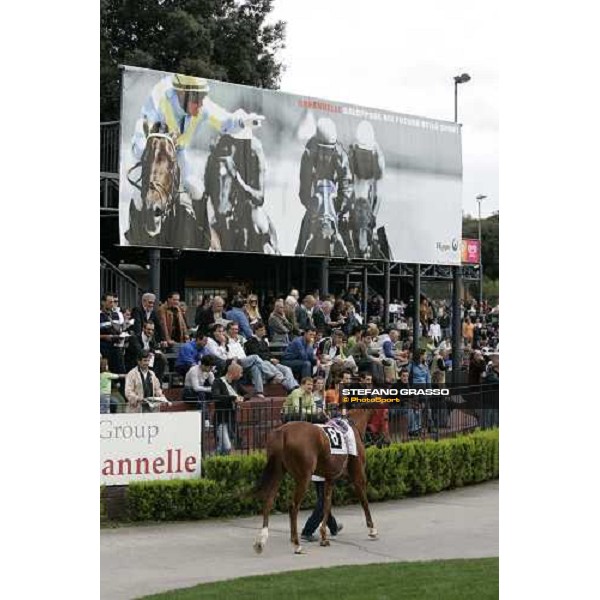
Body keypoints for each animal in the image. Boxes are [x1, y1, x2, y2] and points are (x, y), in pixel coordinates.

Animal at [252, 410, 384, 556]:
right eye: (386, 417)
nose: (386, 440)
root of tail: (283, 432)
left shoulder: (329, 479)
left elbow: (326, 504)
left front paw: (324, 537)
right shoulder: (358, 476)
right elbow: (364, 501)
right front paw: (372, 530)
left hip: (278, 472)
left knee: (268, 502)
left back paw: (261, 541)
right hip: (303, 477)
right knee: (293, 507)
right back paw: (296, 544)